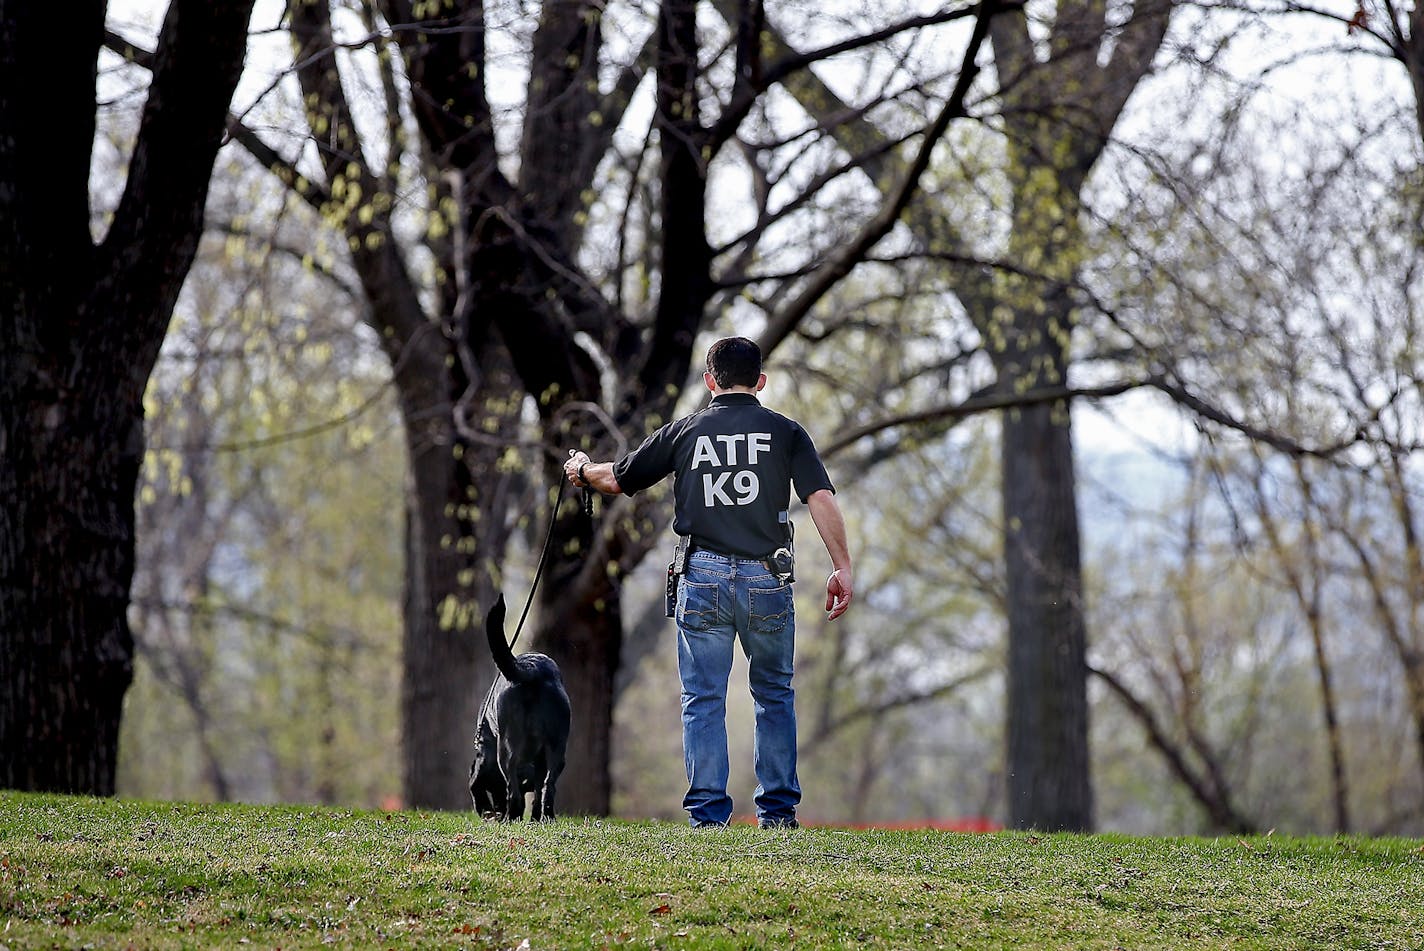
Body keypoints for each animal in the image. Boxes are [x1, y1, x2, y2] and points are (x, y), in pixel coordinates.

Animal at [472, 589, 572, 820]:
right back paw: (544, 818)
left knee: (514, 792)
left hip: (506, 749)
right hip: (558, 747)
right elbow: (538, 789)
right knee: (548, 788)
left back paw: (511, 817)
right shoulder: (541, 761)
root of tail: (532, 669)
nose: (495, 811)